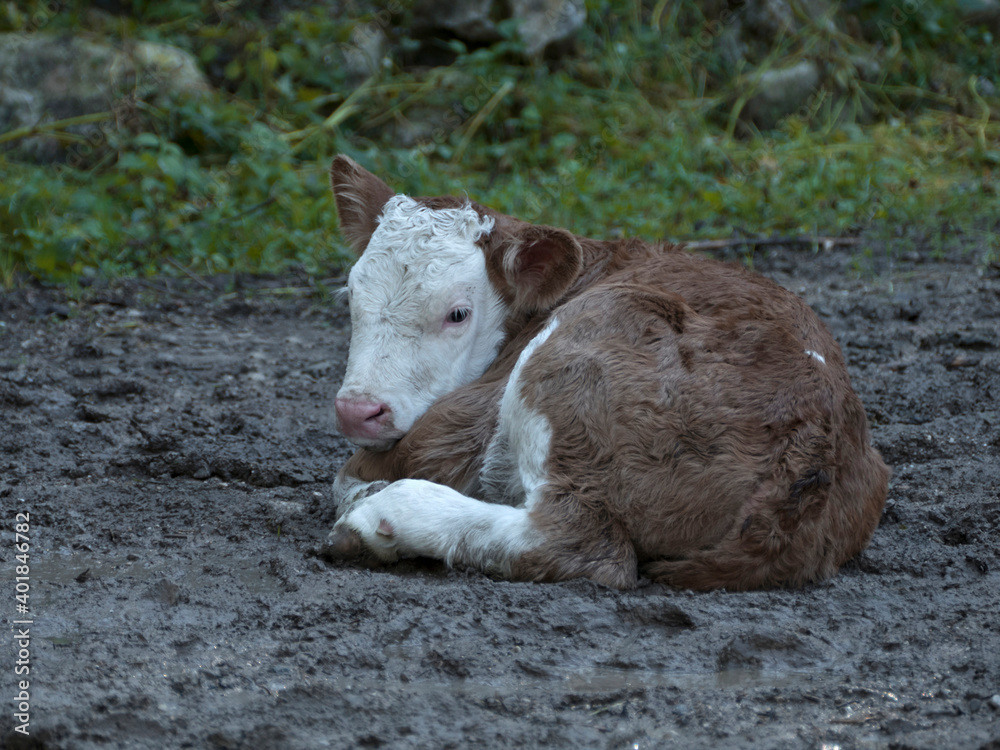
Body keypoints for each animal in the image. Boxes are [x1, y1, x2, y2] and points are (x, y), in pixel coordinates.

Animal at [322, 155, 890, 591]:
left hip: (577, 352)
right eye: (351, 295)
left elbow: (354, 472)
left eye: (458, 313)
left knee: (581, 543)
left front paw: (368, 491)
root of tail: (813, 446)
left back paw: (382, 519)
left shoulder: (467, 416)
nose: (356, 411)